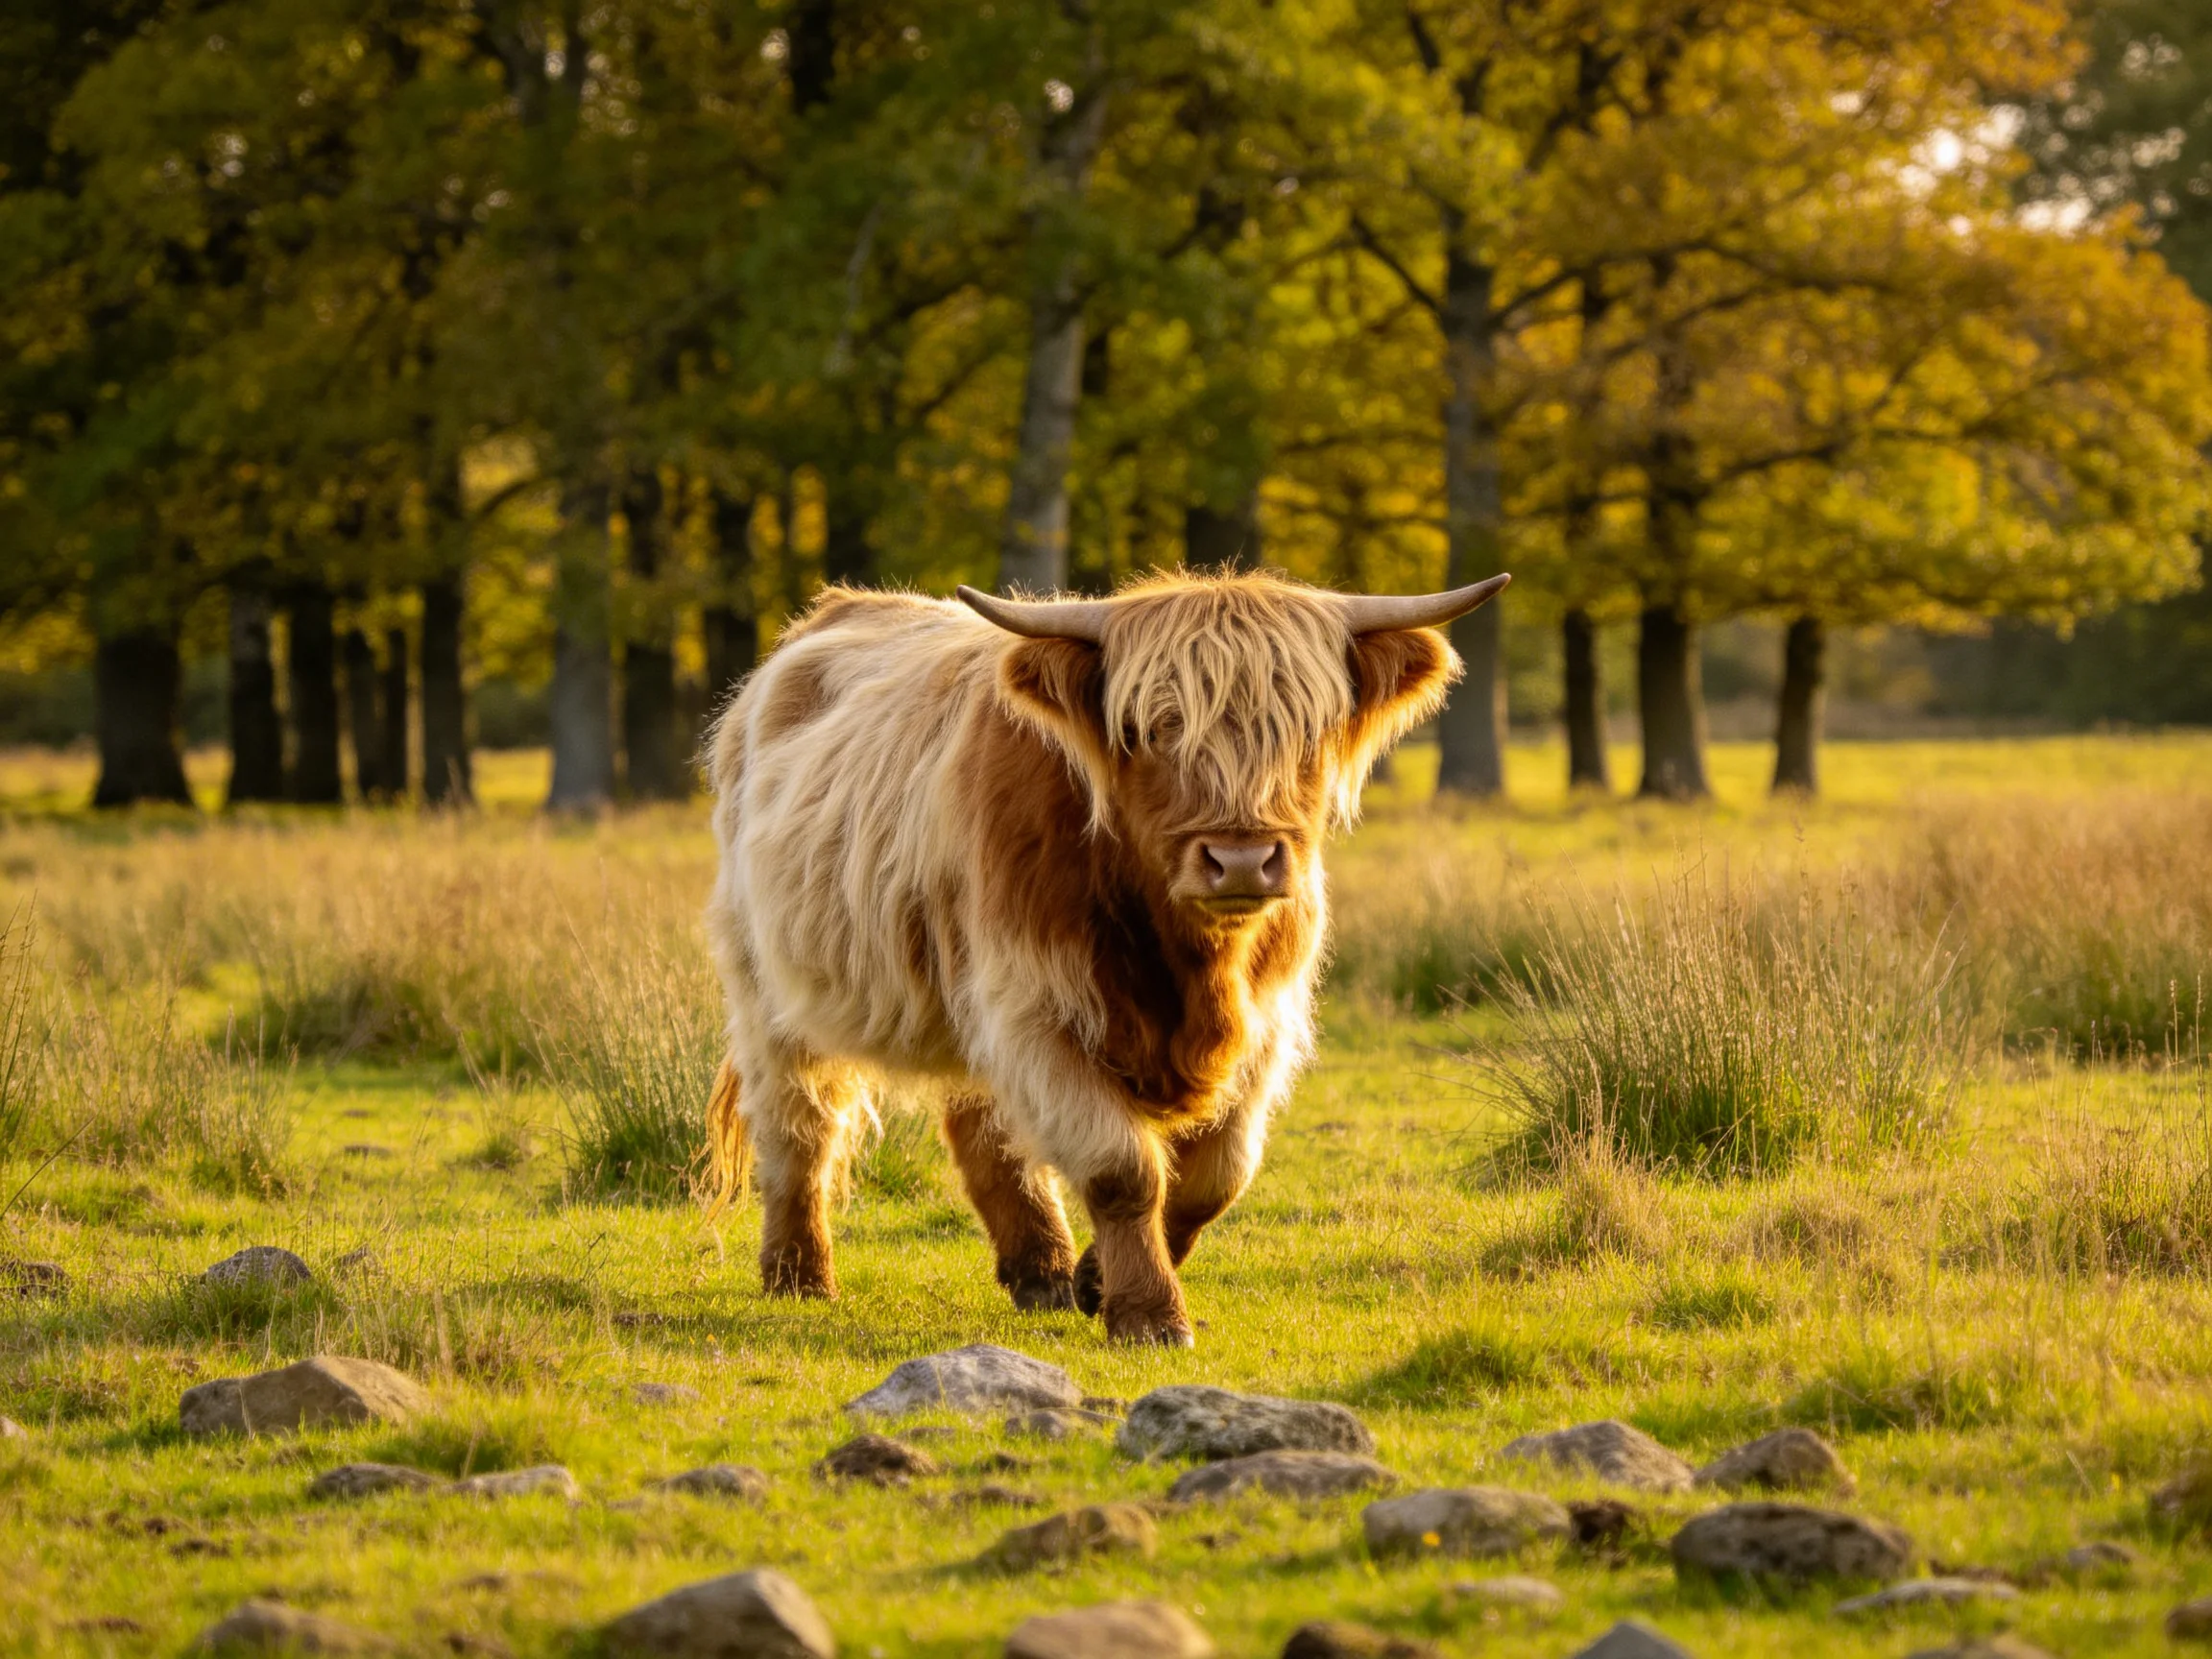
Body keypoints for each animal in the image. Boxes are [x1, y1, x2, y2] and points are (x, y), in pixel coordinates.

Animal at [702, 567, 1509, 1345]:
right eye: (1148, 729)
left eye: (1307, 729)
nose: (1241, 860)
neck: (1189, 963)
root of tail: (835, 609)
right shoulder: (1033, 1006)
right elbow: (1124, 1168)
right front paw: (1149, 1313)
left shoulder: (1268, 1019)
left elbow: (1217, 1174)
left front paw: (1096, 1280)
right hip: (770, 987)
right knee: (800, 1121)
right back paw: (799, 1273)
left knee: (985, 1126)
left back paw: (1044, 1271)